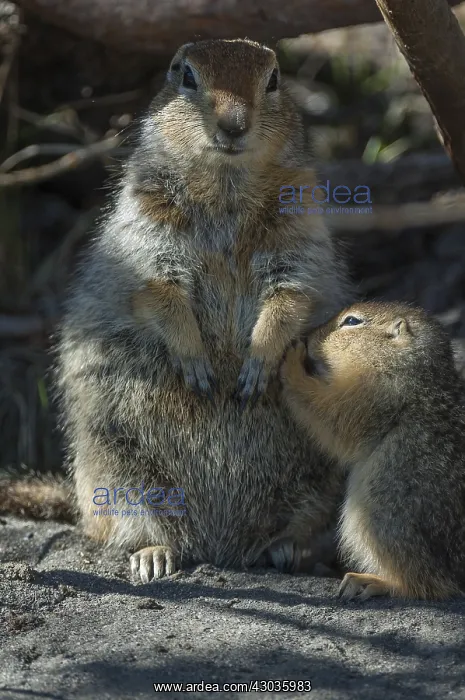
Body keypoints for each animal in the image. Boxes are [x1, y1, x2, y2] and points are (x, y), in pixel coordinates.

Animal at [52, 38, 352, 582]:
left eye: (274, 79)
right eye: (185, 75)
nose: (233, 125)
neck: (225, 187)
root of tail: (221, 548)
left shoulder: (300, 237)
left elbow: (291, 297)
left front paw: (255, 365)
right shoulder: (147, 240)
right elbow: (162, 295)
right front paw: (196, 363)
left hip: (319, 474)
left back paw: (285, 549)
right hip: (112, 464)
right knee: (133, 525)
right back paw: (155, 555)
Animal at [280, 301, 465, 601]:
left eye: (351, 321)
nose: (307, 337)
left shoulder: (374, 387)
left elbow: (333, 411)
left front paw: (292, 358)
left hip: (382, 511)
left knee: (429, 582)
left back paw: (371, 581)